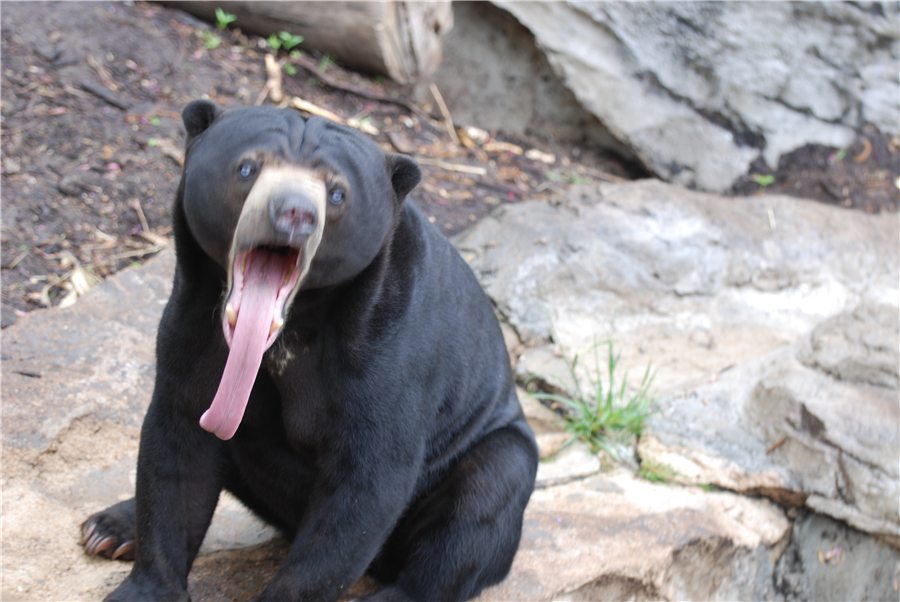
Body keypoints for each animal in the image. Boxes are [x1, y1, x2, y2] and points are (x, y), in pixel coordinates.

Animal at [81, 100, 538, 602]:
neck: (290, 325)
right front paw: (145, 587)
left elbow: (366, 484)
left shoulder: (390, 355)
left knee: (480, 502)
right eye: (247, 168)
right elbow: (178, 449)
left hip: (488, 448)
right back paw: (109, 526)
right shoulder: (191, 323)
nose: (294, 214)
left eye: (337, 194)